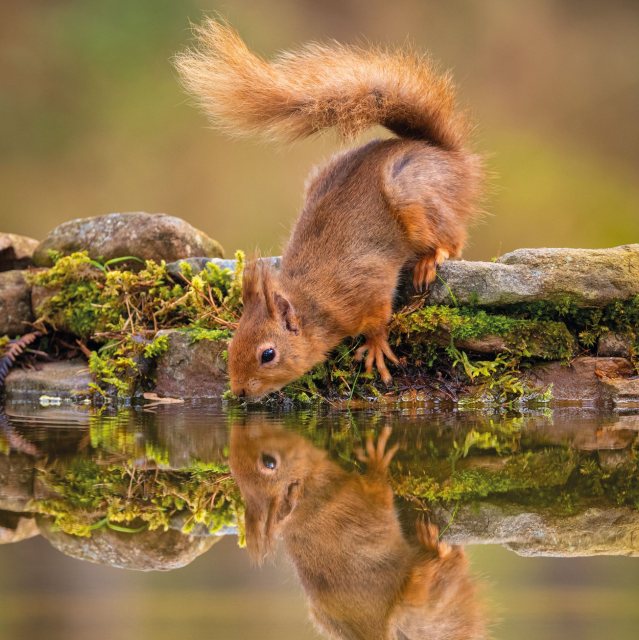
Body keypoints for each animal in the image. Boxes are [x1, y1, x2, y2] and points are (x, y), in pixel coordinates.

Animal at [178, 20, 482, 398]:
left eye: (268, 354)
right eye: (231, 345)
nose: (239, 392)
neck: (314, 302)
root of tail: (450, 157)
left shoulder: (368, 286)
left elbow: (379, 319)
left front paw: (376, 348)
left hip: (414, 197)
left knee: (453, 238)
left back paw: (431, 258)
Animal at [230, 424, 484, 640]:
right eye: (269, 462)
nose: (241, 429)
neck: (310, 495)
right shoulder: (360, 500)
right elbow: (381, 490)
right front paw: (377, 459)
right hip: (419, 596)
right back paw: (433, 545)